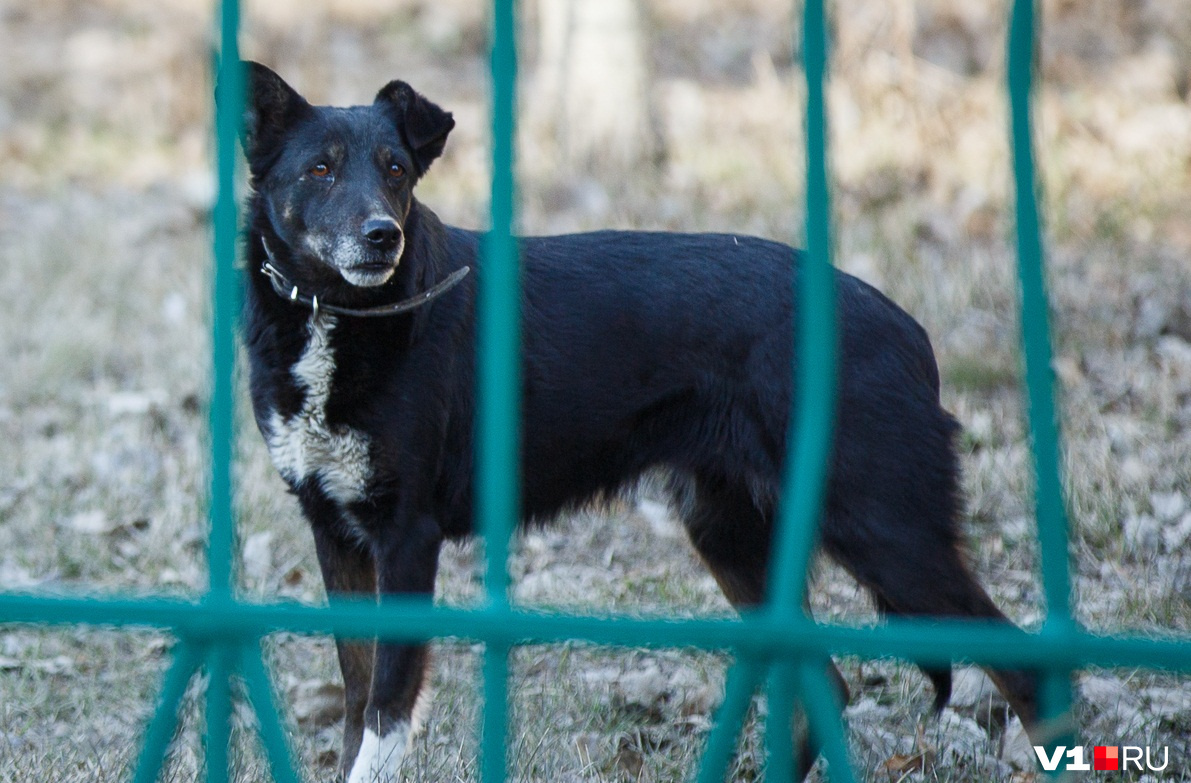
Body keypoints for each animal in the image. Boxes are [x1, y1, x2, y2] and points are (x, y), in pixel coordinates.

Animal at [237, 62, 1038, 781]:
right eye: (319, 170)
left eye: (397, 170)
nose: (382, 236)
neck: (343, 317)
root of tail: (912, 334)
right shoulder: (336, 532)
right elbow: (354, 703)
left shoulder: (406, 537)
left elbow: (384, 713)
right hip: (731, 535)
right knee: (827, 688)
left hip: (885, 532)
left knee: (1020, 666)